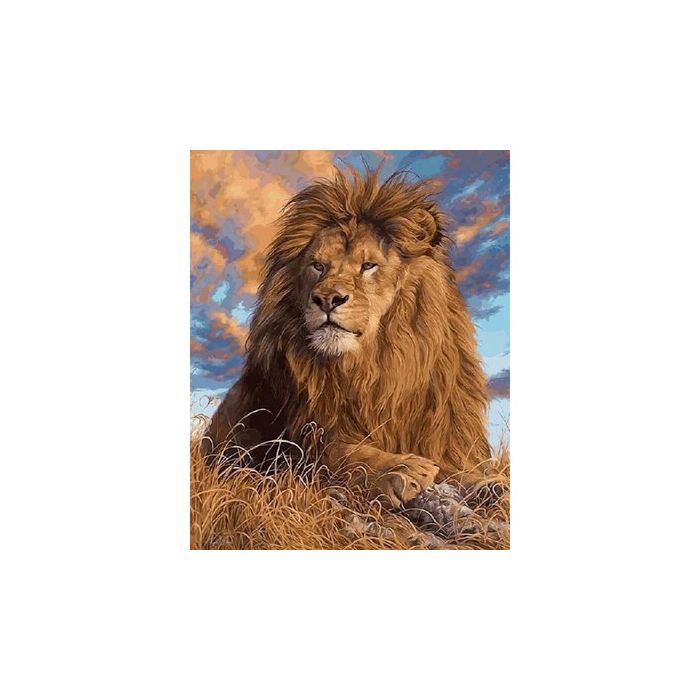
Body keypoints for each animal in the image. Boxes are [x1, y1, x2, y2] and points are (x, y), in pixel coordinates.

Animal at [205, 167, 493, 509]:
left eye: (368, 266)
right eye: (318, 265)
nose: (327, 298)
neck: (373, 367)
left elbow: (459, 467)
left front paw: (487, 483)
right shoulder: (299, 441)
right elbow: (345, 454)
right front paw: (401, 469)